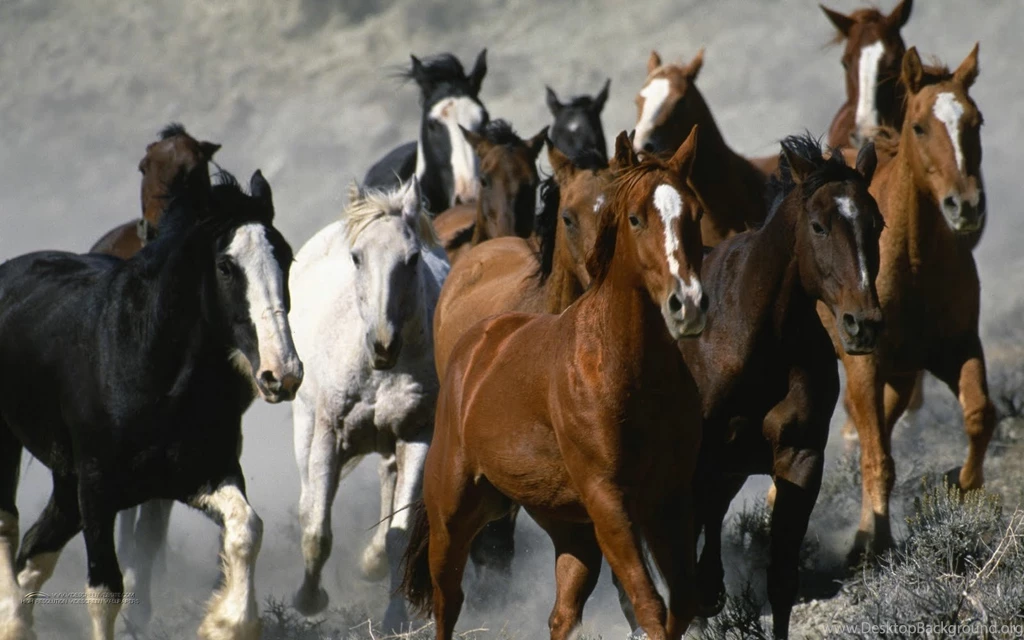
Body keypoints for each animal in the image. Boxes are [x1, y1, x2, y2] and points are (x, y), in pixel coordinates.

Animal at [0, 170, 302, 640]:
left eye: (285, 258)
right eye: (225, 266)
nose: (282, 373)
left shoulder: (200, 472)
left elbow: (246, 528)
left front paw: (225, 621)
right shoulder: (98, 487)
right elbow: (105, 591)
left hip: (67, 480)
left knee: (36, 549)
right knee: (8, 526)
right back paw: (12, 618)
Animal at [288, 179, 448, 632]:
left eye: (412, 258)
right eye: (357, 257)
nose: (383, 344)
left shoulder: (417, 437)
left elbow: (400, 533)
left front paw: (394, 617)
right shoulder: (329, 433)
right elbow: (317, 530)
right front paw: (309, 600)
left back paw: (371, 562)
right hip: (305, 421)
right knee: (308, 500)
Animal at [616, 134, 885, 640]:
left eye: (876, 223)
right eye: (818, 226)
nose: (863, 324)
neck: (753, 338)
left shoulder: (799, 459)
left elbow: (780, 579)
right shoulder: (690, 469)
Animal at [826, 44, 992, 560]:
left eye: (976, 120)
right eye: (918, 126)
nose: (966, 205)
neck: (912, 263)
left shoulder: (957, 347)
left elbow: (979, 415)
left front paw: (961, 485)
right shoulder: (864, 364)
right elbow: (877, 455)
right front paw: (871, 543)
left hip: (900, 377)